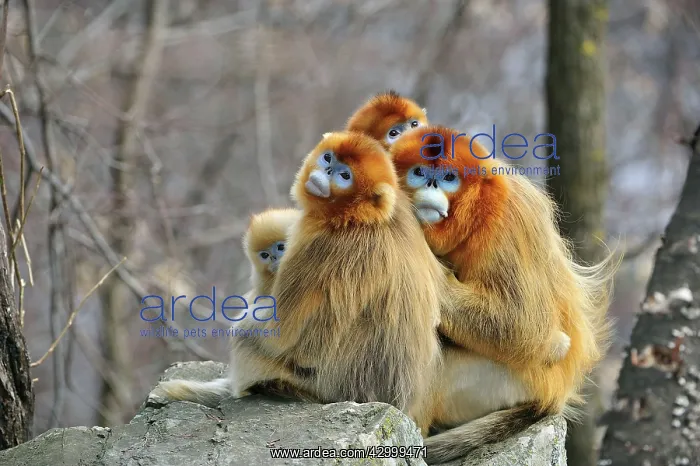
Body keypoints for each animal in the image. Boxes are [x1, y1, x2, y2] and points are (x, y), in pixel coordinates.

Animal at [388, 125, 615, 463]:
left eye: (449, 177)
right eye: (419, 172)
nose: (430, 182)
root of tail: (555, 395)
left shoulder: (509, 219)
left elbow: (528, 328)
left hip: (503, 384)